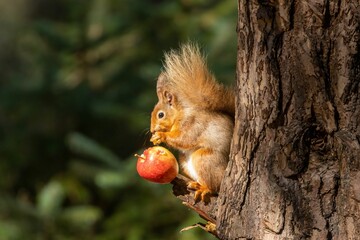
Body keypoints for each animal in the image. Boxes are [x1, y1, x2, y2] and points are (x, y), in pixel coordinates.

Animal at [148, 43, 233, 202]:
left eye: (161, 115)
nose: (152, 130)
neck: (179, 114)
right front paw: (155, 137)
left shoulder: (191, 123)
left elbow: (184, 138)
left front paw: (161, 136)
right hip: (184, 162)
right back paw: (196, 184)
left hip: (204, 159)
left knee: (215, 186)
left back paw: (205, 189)